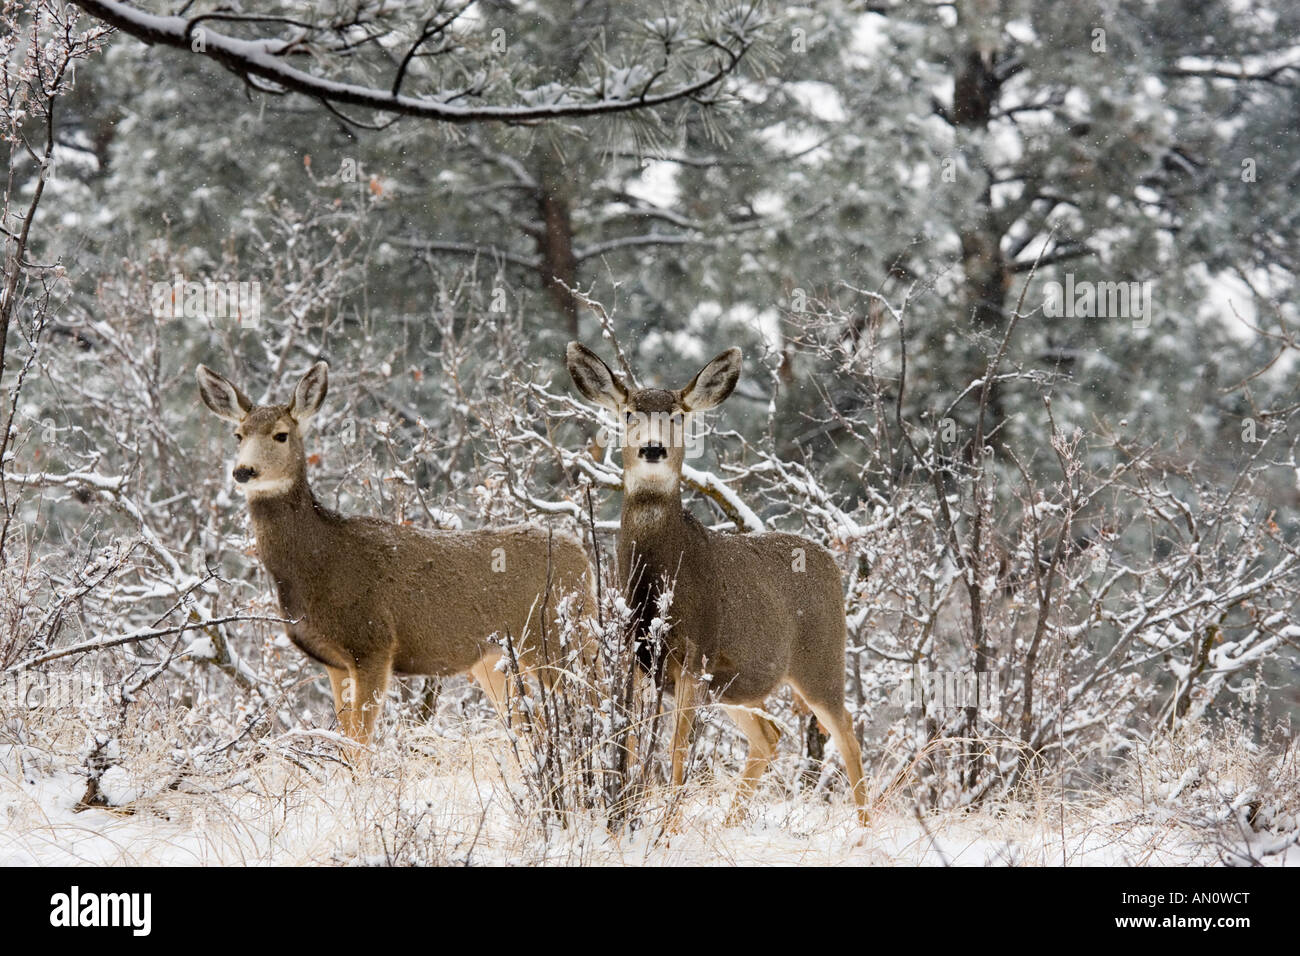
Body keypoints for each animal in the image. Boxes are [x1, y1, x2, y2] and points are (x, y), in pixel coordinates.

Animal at [196, 361, 595, 751]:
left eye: (280, 434)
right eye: (238, 435)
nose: (243, 471)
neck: (319, 562)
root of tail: (582, 555)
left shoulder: (373, 643)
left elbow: (361, 745)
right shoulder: (334, 661)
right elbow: (345, 740)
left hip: (556, 632)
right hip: (494, 658)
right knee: (533, 727)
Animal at [565, 342, 868, 826]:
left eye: (677, 415)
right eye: (629, 412)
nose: (653, 450)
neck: (658, 583)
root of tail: (829, 560)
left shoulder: (695, 653)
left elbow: (676, 748)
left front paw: (667, 826)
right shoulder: (636, 657)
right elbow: (626, 740)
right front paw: (623, 814)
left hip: (820, 660)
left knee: (846, 735)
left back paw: (864, 828)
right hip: (736, 686)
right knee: (770, 734)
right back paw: (732, 822)